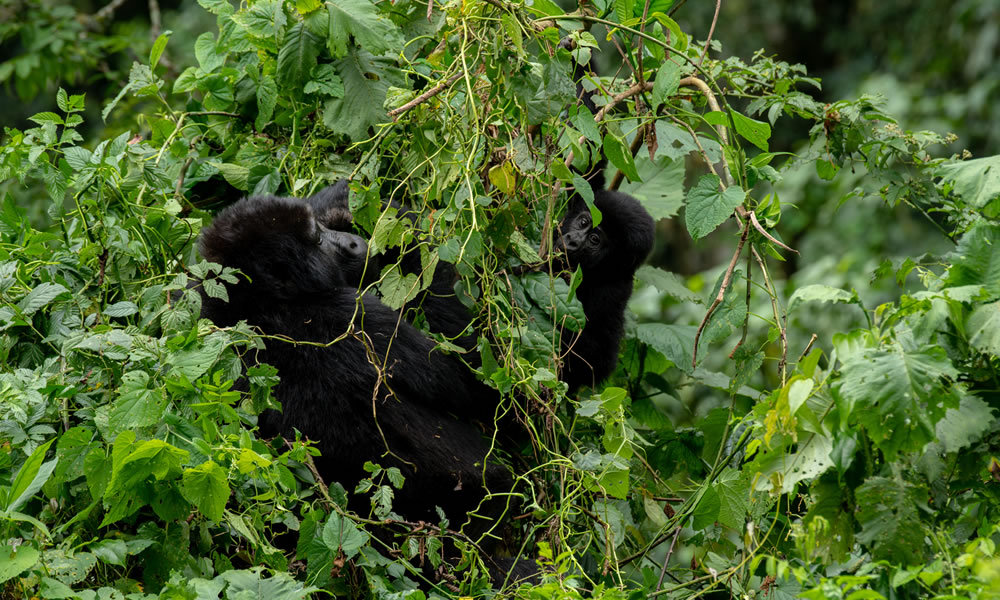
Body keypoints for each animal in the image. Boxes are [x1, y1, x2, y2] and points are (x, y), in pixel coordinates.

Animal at [196, 196, 512, 540]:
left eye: (320, 229)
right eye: (317, 240)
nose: (351, 242)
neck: (261, 303)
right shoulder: (352, 312)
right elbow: (473, 378)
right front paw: (402, 223)